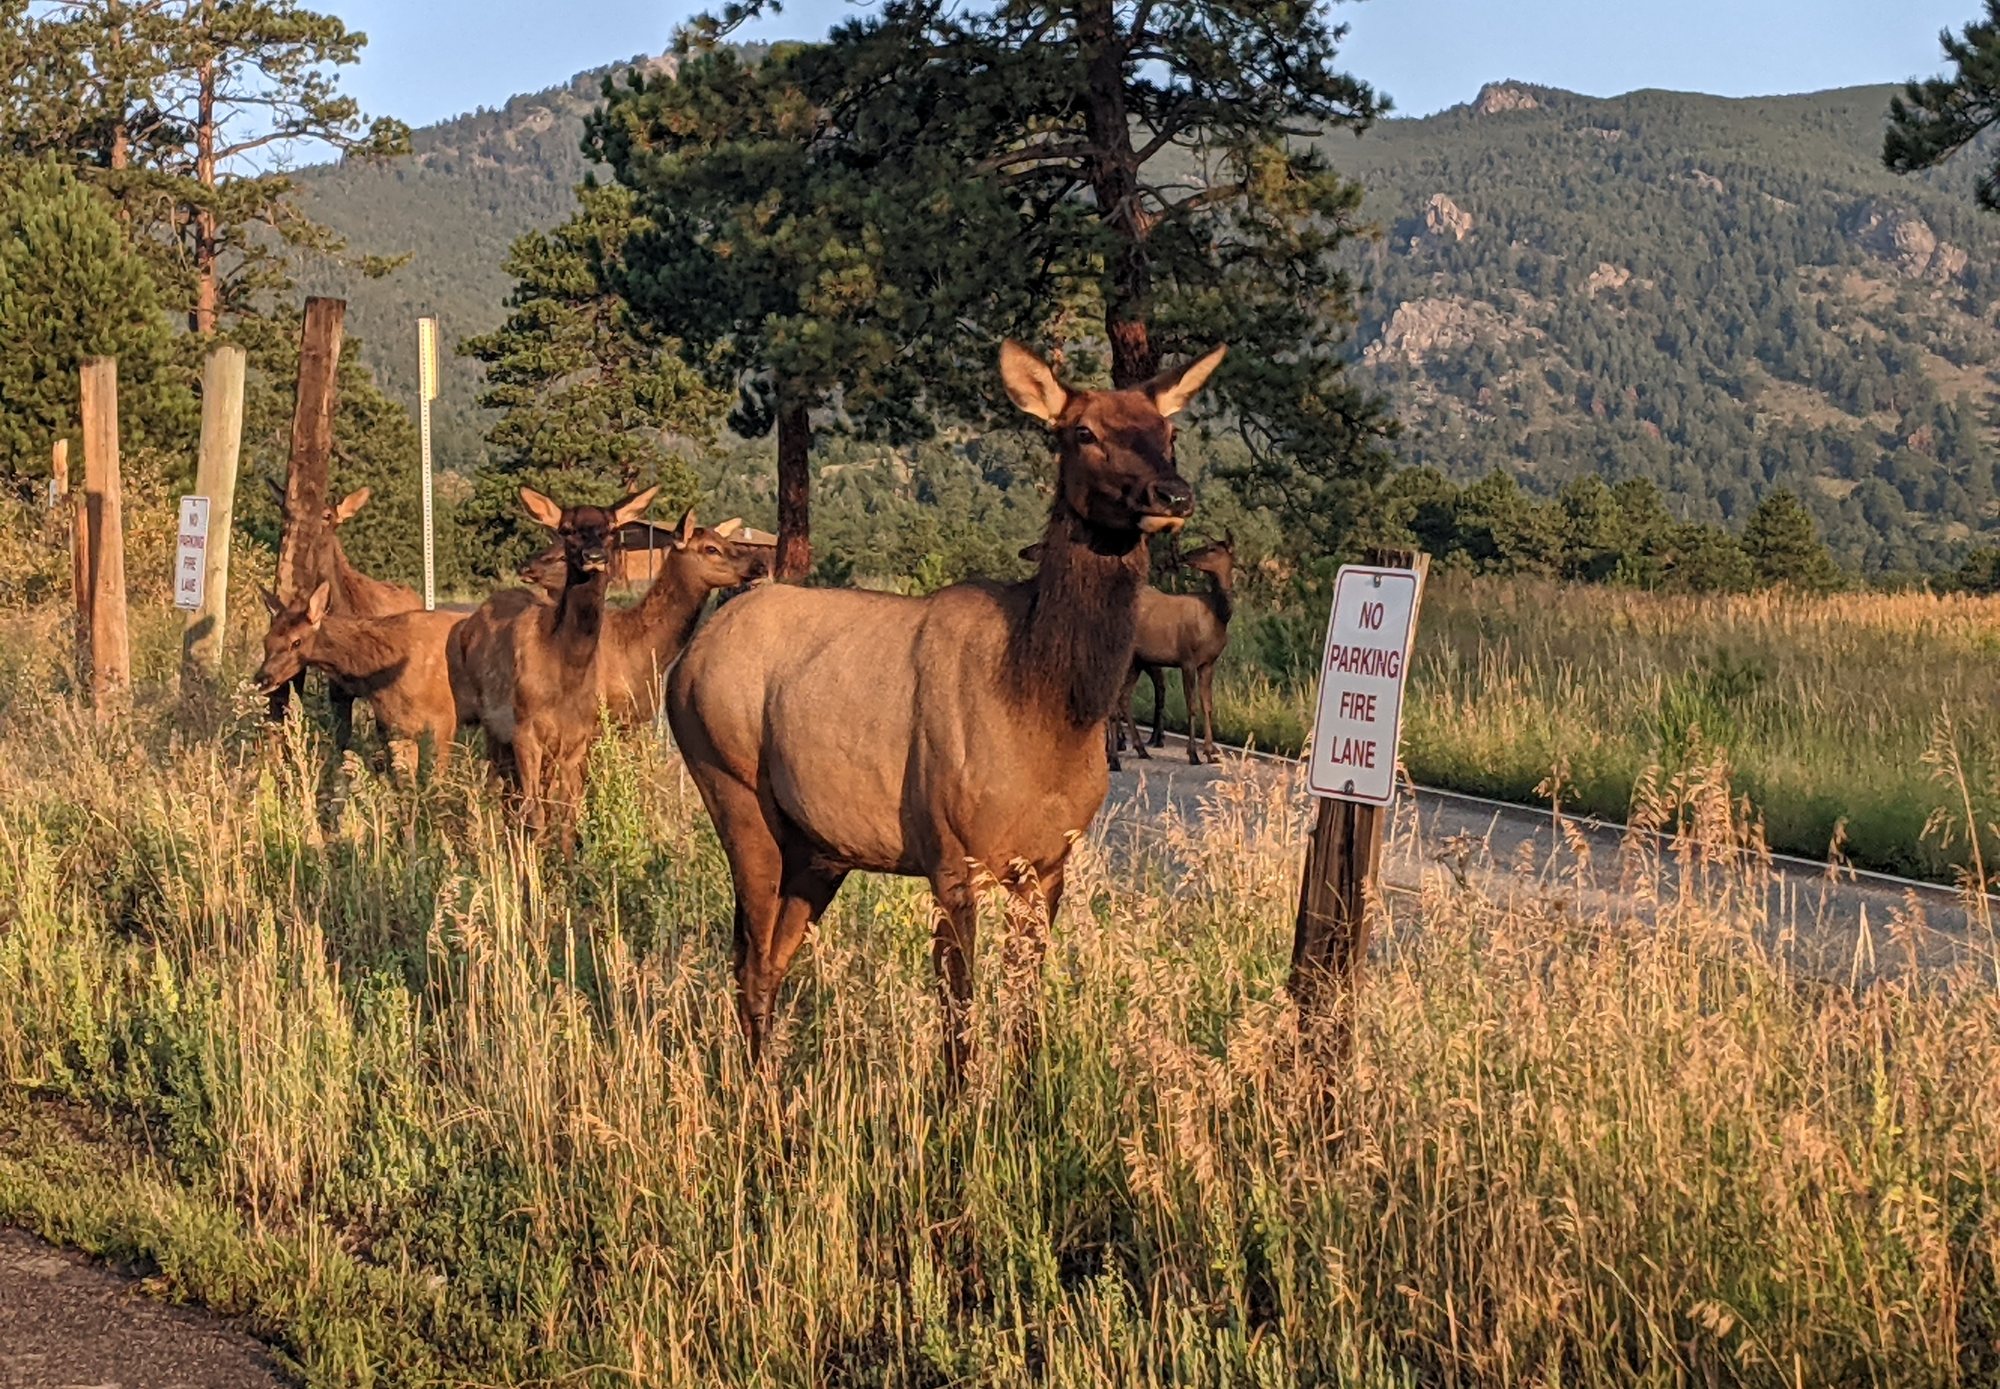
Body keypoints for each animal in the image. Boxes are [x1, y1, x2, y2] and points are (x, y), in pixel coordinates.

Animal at [256, 581, 468, 778]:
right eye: (266, 639)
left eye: (296, 642)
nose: (262, 678)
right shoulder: (394, 723)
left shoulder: (445, 715)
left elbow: (437, 776)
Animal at [448, 485, 659, 843]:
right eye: (567, 529)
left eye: (610, 528)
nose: (594, 556)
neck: (566, 676)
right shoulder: (524, 731)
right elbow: (534, 813)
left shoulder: (579, 739)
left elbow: (568, 817)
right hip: (493, 729)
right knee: (502, 792)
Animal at [668, 339, 1221, 1075]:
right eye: (1083, 432)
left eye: (1170, 431)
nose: (1173, 494)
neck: (1045, 708)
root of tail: (684, 661)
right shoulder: (953, 857)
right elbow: (959, 1019)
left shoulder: (1049, 865)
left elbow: (1025, 1018)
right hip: (732, 788)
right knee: (752, 958)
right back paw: (757, 1088)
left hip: (819, 845)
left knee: (769, 954)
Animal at [1107, 535, 1237, 769]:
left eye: (1212, 548)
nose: (1185, 555)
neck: (1219, 614)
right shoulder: (1187, 659)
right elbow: (1192, 706)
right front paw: (1193, 753)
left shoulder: (1208, 663)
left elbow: (1208, 705)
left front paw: (1210, 752)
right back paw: (1114, 758)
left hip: (1137, 661)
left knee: (1123, 698)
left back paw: (1140, 749)